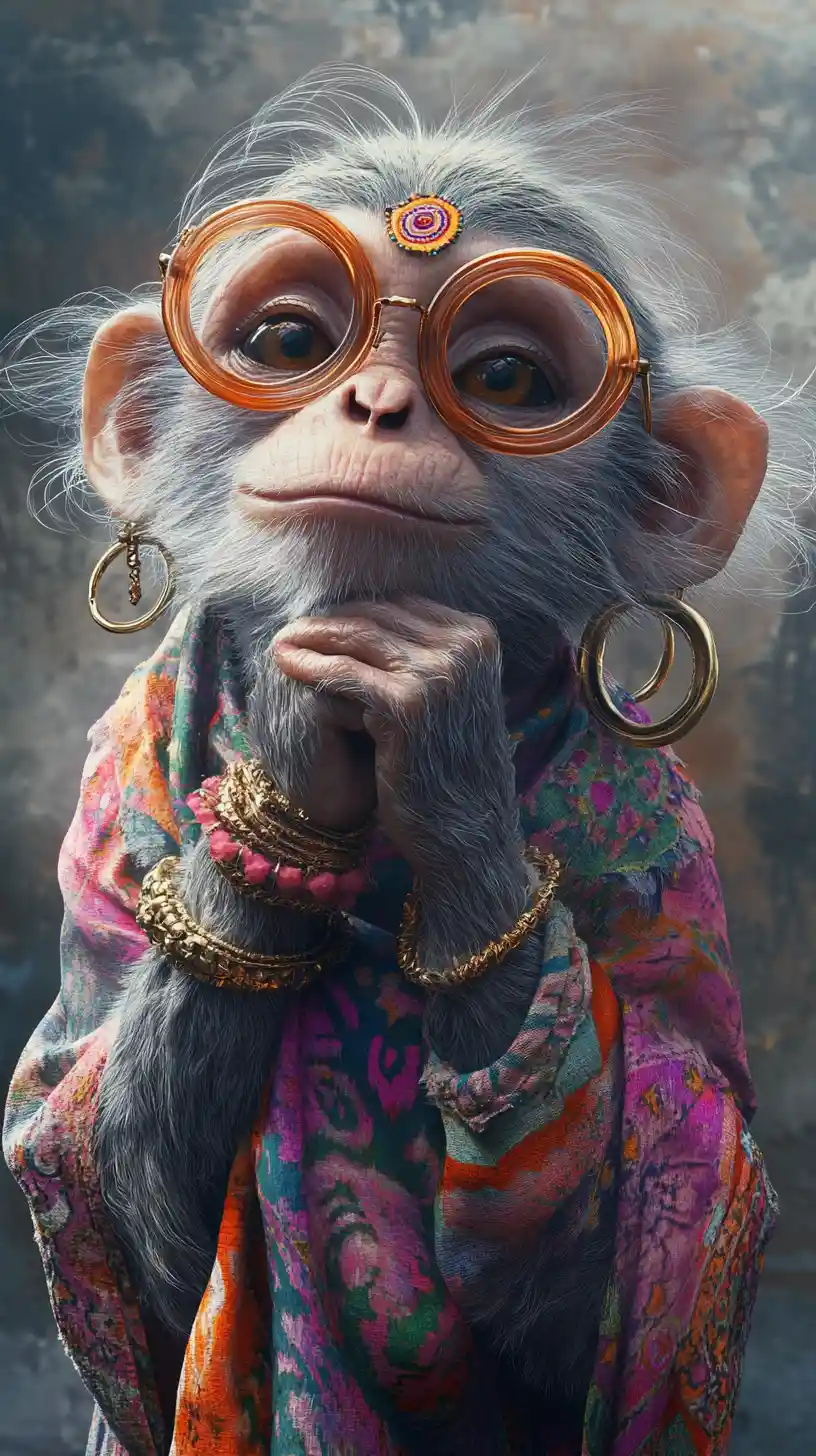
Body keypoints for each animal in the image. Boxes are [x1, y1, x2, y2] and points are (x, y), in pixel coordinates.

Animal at [2, 67, 810, 1456]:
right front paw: (292, 745)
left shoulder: (665, 840)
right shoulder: (115, 780)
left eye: (506, 375)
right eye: (287, 345)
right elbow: (84, 1183)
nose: (376, 408)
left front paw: (438, 729)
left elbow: (678, 1226)